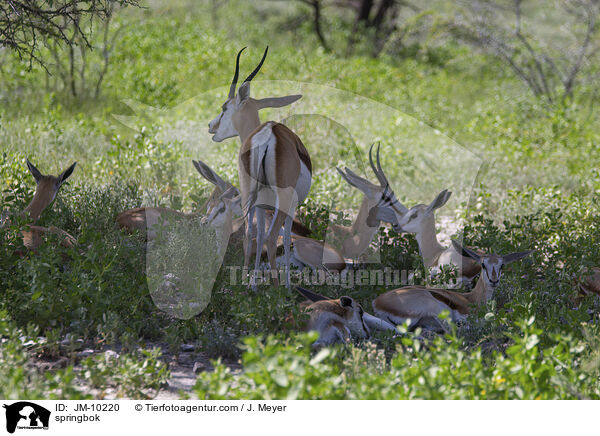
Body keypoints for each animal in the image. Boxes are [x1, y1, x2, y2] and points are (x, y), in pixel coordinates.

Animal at [207, 46, 310, 290]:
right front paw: (287, 285)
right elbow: (286, 237)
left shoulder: (262, 204)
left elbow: (259, 234)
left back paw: (245, 287)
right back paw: (278, 289)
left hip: (248, 194)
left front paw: (252, 284)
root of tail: (268, 133)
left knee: (249, 234)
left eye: (224, 107)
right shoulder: (290, 206)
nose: (211, 125)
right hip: (282, 199)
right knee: (272, 238)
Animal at [372, 240, 532, 332]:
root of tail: (378, 303)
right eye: (483, 264)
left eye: (502, 265)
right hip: (434, 309)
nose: (494, 281)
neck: (472, 299)